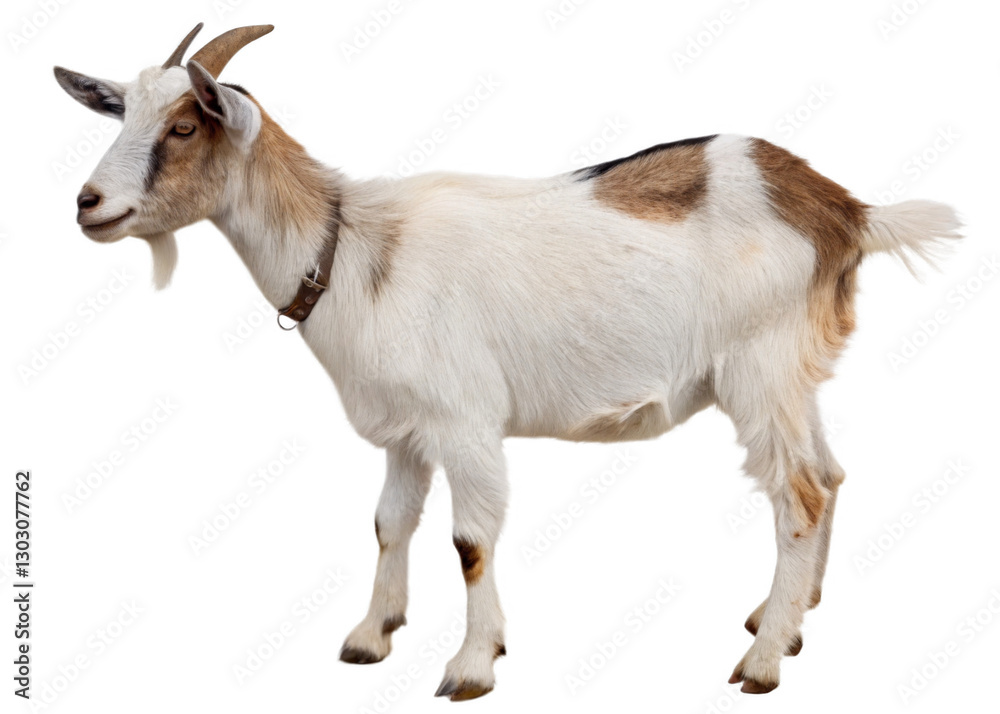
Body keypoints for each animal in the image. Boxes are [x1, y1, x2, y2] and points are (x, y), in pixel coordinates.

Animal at [55, 23, 961, 700]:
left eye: (182, 127)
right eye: (121, 118)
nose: (88, 205)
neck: (353, 249)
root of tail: (843, 210)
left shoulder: (465, 421)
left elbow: (469, 540)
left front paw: (469, 666)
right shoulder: (404, 429)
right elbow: (390, 523)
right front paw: (370, 637)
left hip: (759, 368)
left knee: (799, 493)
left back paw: (764, 659)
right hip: (794, 374)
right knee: (830, 473)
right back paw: (793, 617)